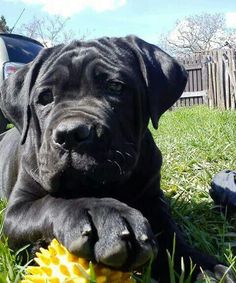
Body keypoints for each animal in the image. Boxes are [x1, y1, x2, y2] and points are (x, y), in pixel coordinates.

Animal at [0, 36, 230, 282]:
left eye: (115, 87)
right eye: (45, 98)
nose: (71, 133)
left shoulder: (153, 199)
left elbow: (172, 236)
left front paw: (204, 268)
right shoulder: (16, 210)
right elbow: (52, 201)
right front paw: (103, 217)